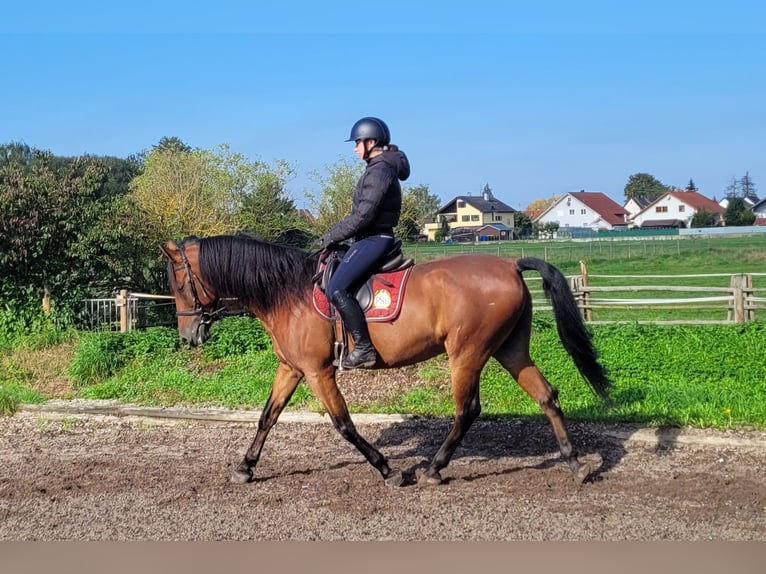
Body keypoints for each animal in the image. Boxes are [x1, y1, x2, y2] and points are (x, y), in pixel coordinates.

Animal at [161, 233, 610, 486]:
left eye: (180, 283)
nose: (188, 336)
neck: (287, 292)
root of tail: (510, 264)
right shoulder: (292, 368)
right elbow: (266, 417)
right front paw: (245, 468)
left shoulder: (318, 372)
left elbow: (343, 424)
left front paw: (388, 469)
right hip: (509, 349)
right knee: (546, 395)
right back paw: (575, 463)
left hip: (467, 353)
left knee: (467, 409)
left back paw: (433, 469)